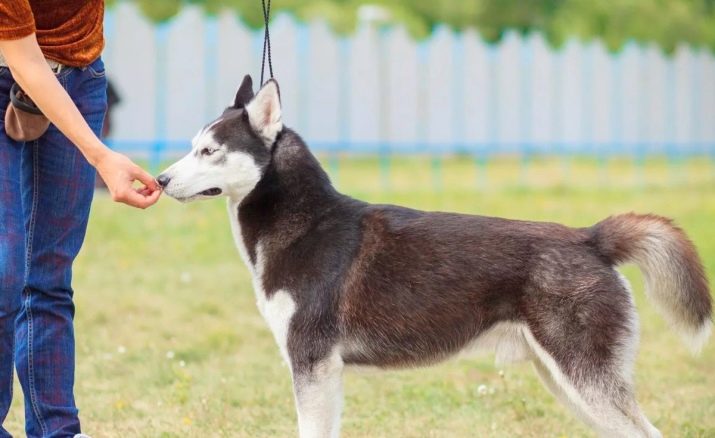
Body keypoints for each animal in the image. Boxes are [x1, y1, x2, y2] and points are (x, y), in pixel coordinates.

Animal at [157, 75, 712, 438]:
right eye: (191, 146)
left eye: (210, 151)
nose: (159, 180)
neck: (303, 224)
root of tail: (589, 237)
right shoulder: (321, 372)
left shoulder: (313, 365)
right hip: (564, 382)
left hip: (585, 380)